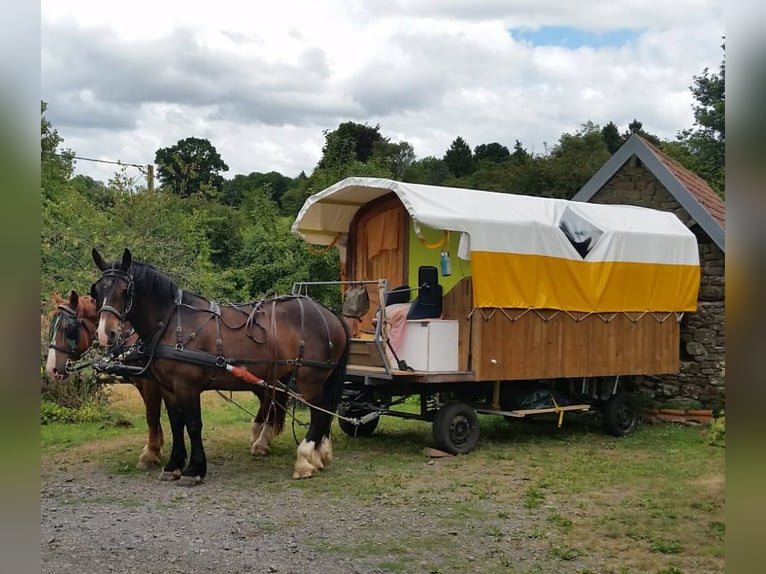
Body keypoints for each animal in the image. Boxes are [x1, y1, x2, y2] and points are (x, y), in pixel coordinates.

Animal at [90, 249, 352, 486]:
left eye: (125, 291)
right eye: (98, 291)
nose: (105, 333)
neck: (172, 323)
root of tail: (331, 315)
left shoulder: (186, 386)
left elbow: (193, 424)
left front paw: (193, 470)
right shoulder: (168, 387)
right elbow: (176, 423)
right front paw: (173, 465)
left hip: (310, 378)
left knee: (320, 412)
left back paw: (305, 459)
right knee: (314, 410)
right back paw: (318, 455)